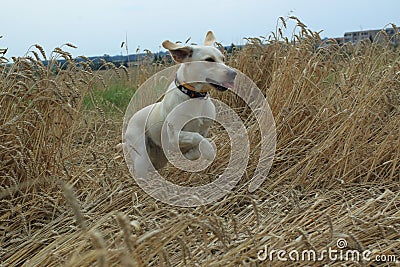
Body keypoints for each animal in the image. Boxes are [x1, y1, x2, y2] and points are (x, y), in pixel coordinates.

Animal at [122, 31, 234, 180]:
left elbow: (197, 146)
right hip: (141, 157)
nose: (234, 74)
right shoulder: (174, 137)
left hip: (158, 159)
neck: (194, 97)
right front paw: (209, 150)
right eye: (209, 60)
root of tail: (131, 120)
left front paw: (192, 153)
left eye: (223, 58)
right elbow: (195, 137)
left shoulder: (203, 130)